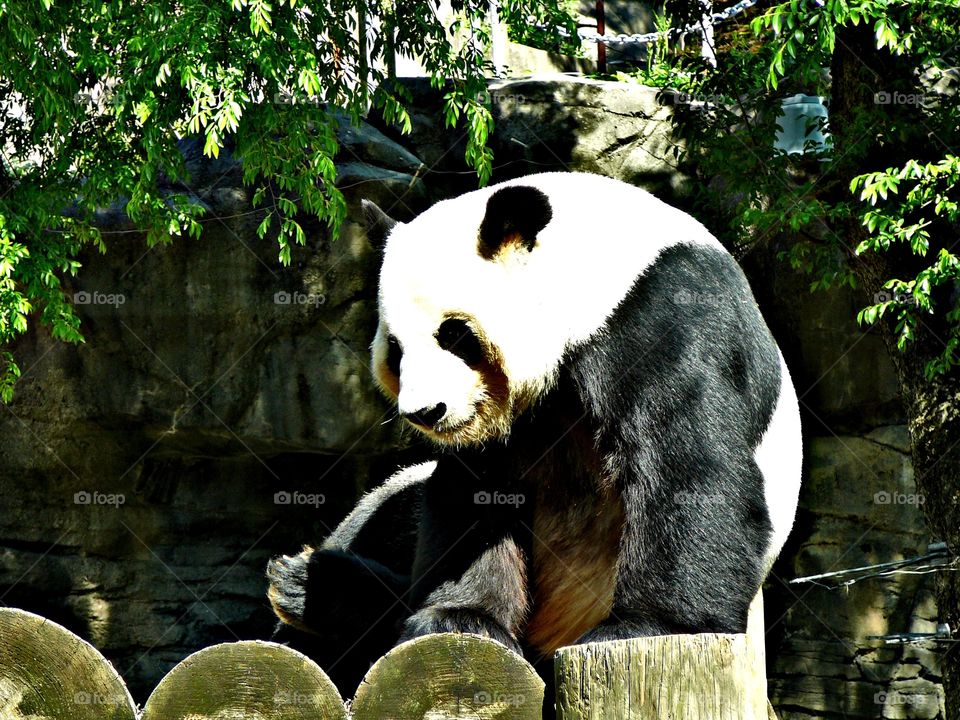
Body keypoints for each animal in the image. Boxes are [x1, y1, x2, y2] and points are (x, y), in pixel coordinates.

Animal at [267, 171, 803, 696]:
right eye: (396, 351)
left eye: (454, 334)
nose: (426, 412)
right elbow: (477, 492)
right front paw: (460, 619)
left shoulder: (663, 309)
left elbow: (686, 464)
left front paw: (651, 625)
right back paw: (313, 589)